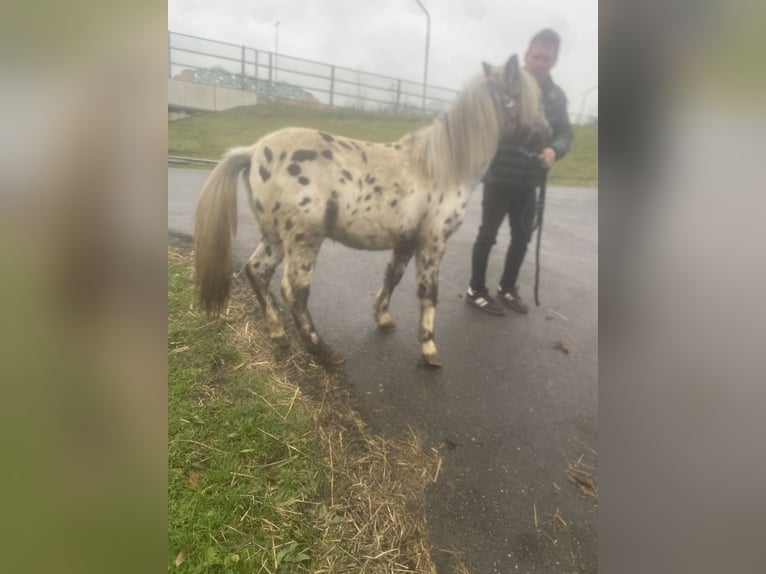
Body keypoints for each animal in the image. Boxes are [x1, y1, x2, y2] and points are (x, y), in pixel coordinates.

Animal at [194, 54, 550, 368]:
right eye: (523, 96)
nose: (548, 135)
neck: (441, 166)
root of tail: (254, 151)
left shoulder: (406, 241)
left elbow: (392, 278)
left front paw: (384, 318)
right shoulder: (433, 241)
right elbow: (429, 292)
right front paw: (429, 349)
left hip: (274, 236)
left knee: (257, 270)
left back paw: (278, 334)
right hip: (303, 238)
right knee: (294, 290)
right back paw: (323, 351)